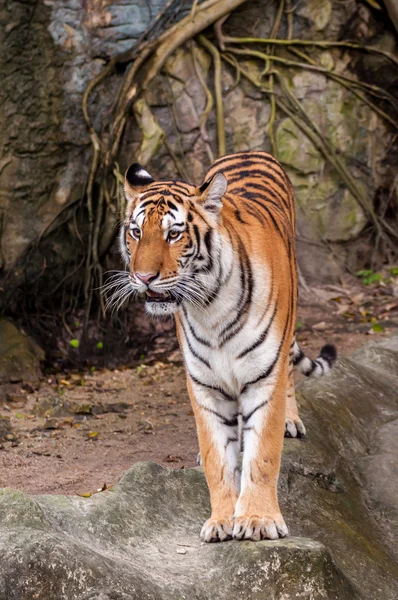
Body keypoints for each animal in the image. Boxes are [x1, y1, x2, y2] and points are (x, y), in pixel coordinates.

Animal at [114, 151, 336, 544]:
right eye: (136, 231)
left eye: (174, 234)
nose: (142, 278)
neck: (210, 306)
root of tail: (249, 152)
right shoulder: (205, 386)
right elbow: (217, 458)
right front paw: (220, 521)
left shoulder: (264, 378)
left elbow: (263, 456)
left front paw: (259, 520)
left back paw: (291, 422)